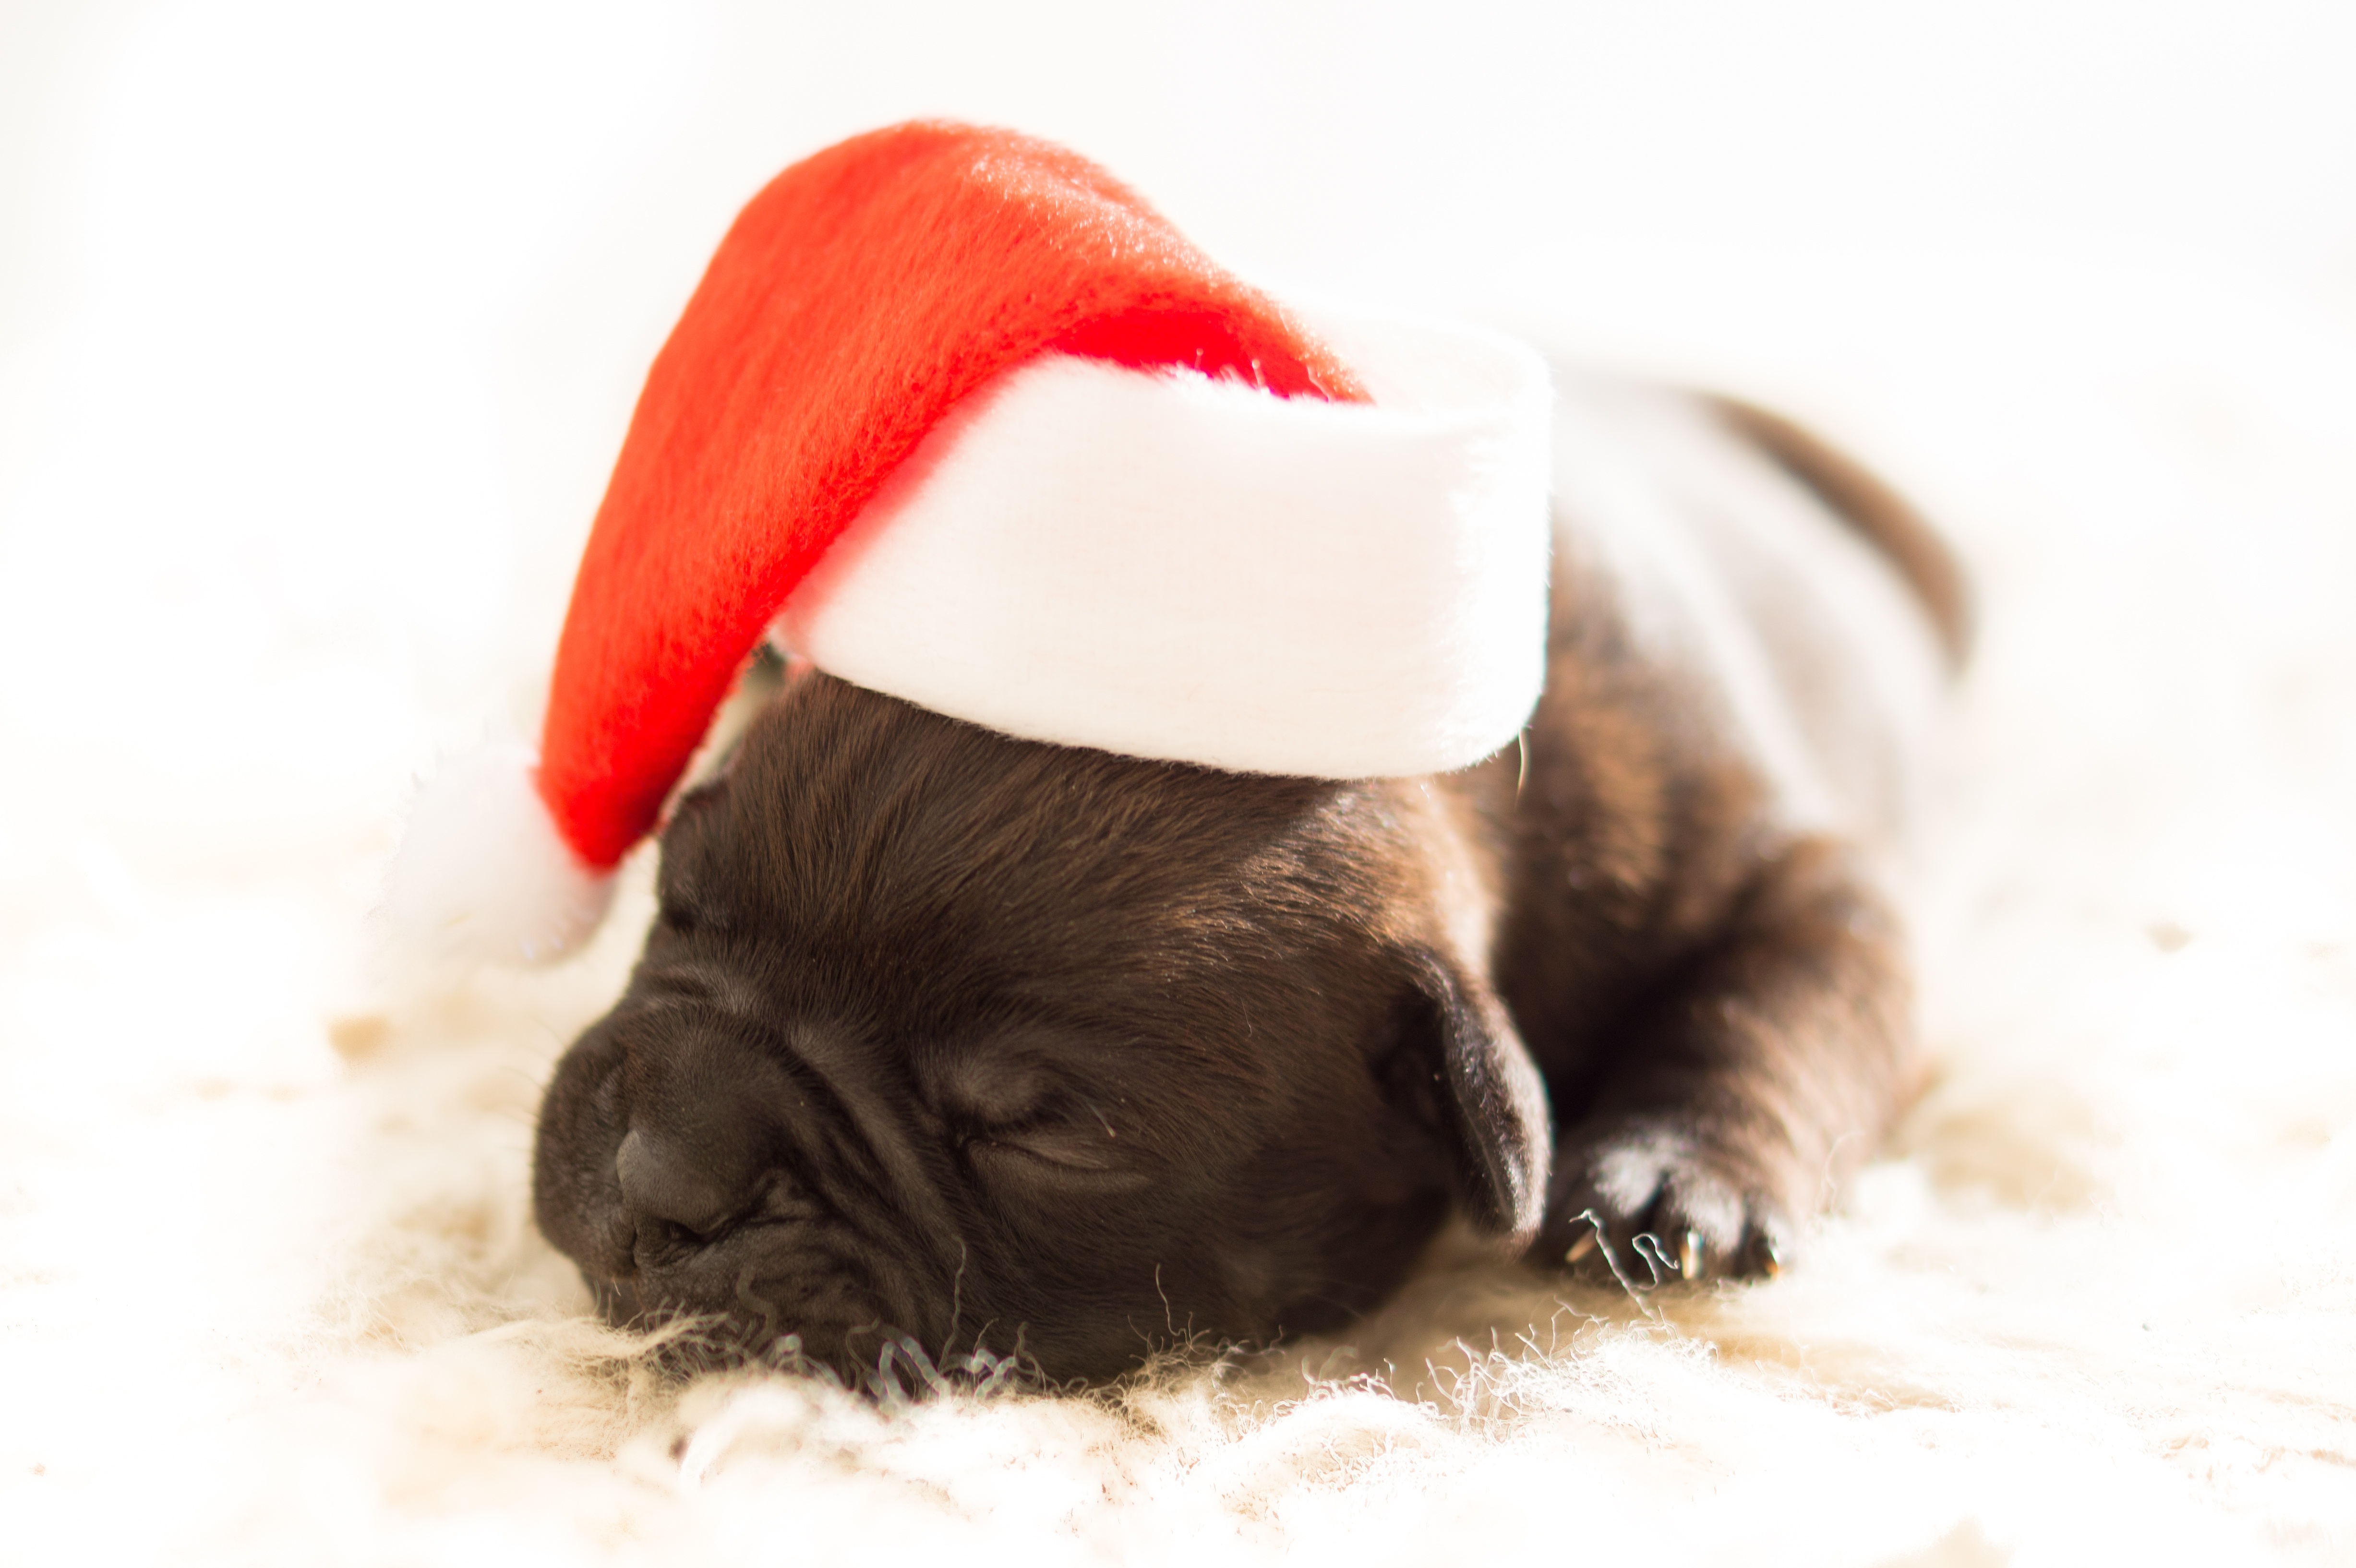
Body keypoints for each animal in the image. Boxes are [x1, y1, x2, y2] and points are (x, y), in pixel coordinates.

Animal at [539, 367, 1970, 1384]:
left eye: (1042, 1133)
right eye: (675, 898)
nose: (663, 1170)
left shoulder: (1786, 864)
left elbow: (1783, 995)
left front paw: (1678, 1173)